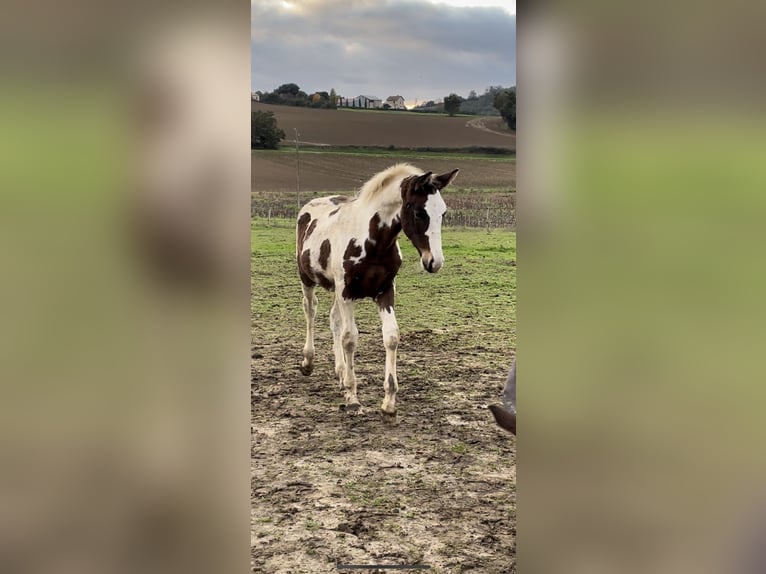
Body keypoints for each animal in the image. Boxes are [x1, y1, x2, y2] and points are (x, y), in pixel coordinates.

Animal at [296, 164, 460, 416]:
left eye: (442, 213)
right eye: (419, 213)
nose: (434, 262)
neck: (372, 241)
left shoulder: (385, 290)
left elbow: (391, 336)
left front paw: (389, 401)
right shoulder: (346, 293)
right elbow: (350, 338)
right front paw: (352, 396)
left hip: (336, 289)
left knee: (333, 319)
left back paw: (340, 371)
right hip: (308, 279)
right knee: (310, 311)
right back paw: (308, 361)